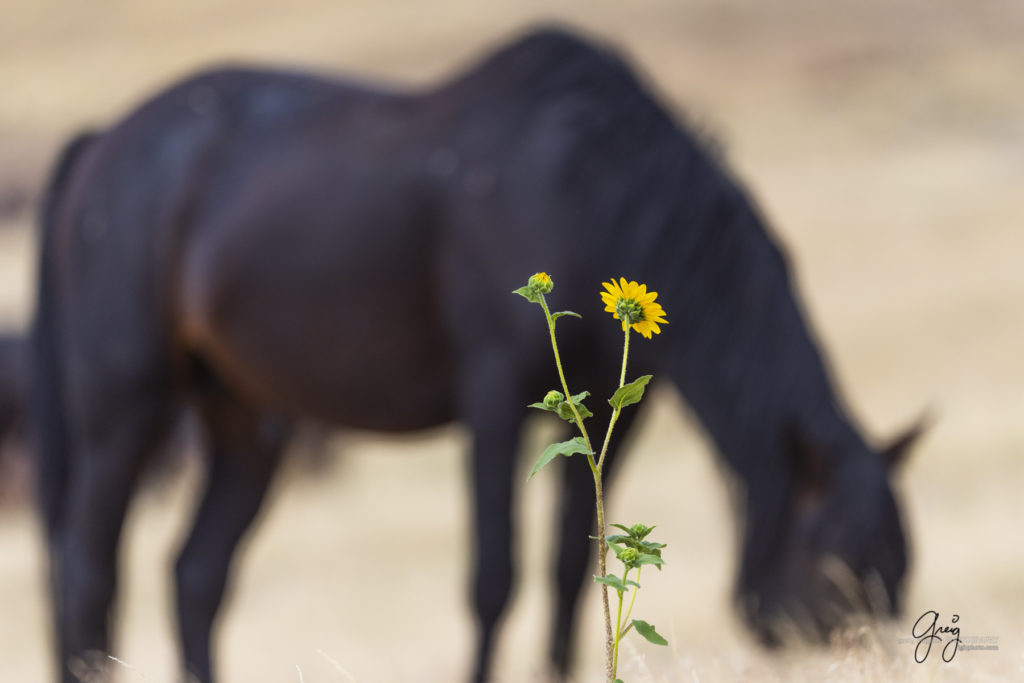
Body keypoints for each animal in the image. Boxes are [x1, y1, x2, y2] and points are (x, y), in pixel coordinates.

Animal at [29, 25, 921, 683]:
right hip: (125, 409)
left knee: (195, 577)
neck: (592, 183)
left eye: (900, 570)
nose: (870, 660)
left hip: (246, 423)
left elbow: (571, 573)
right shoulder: (496, 401)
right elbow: (496, 578)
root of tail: (100, 143)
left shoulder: (606, 418)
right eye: (842, 565)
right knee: (87, 571)